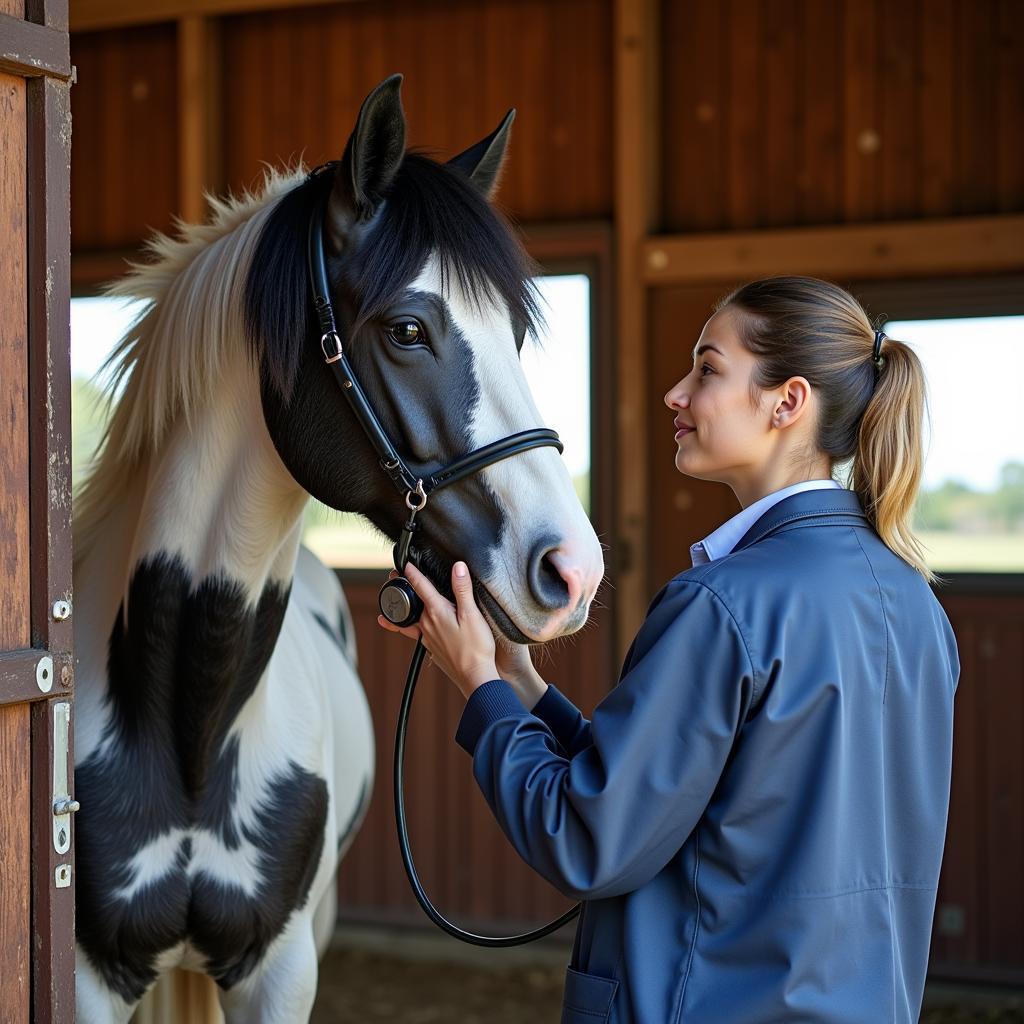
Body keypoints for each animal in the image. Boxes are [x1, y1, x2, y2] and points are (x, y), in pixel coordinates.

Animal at [74, 74, 606, 1024]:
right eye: (407, 330)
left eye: (512, 334)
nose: (573, 572)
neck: (189, 721)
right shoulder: (86, 976)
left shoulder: (284, 968)